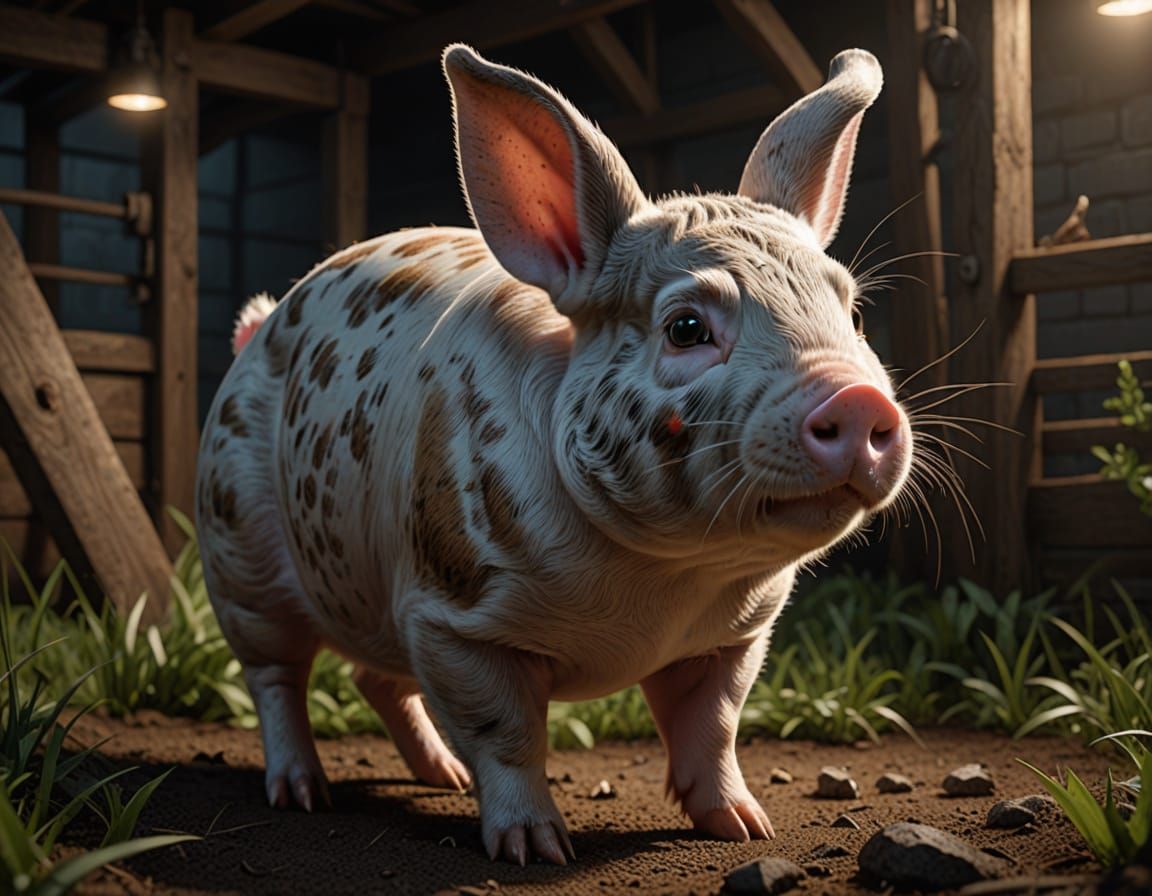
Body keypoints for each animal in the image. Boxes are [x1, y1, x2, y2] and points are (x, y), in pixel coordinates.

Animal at [195, 43, 911, 866]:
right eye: (687, 327)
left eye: (852, 313)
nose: (856, 399)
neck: (659, 588)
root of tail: (258, 331)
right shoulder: (452, 611)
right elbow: (506, 734)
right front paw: (535, 849)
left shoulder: (738, 633)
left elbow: (713, 726)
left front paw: (744, 826)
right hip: (237, 546)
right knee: (275, 675)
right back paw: (304, 793)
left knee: (378, 679)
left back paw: (441, 780)